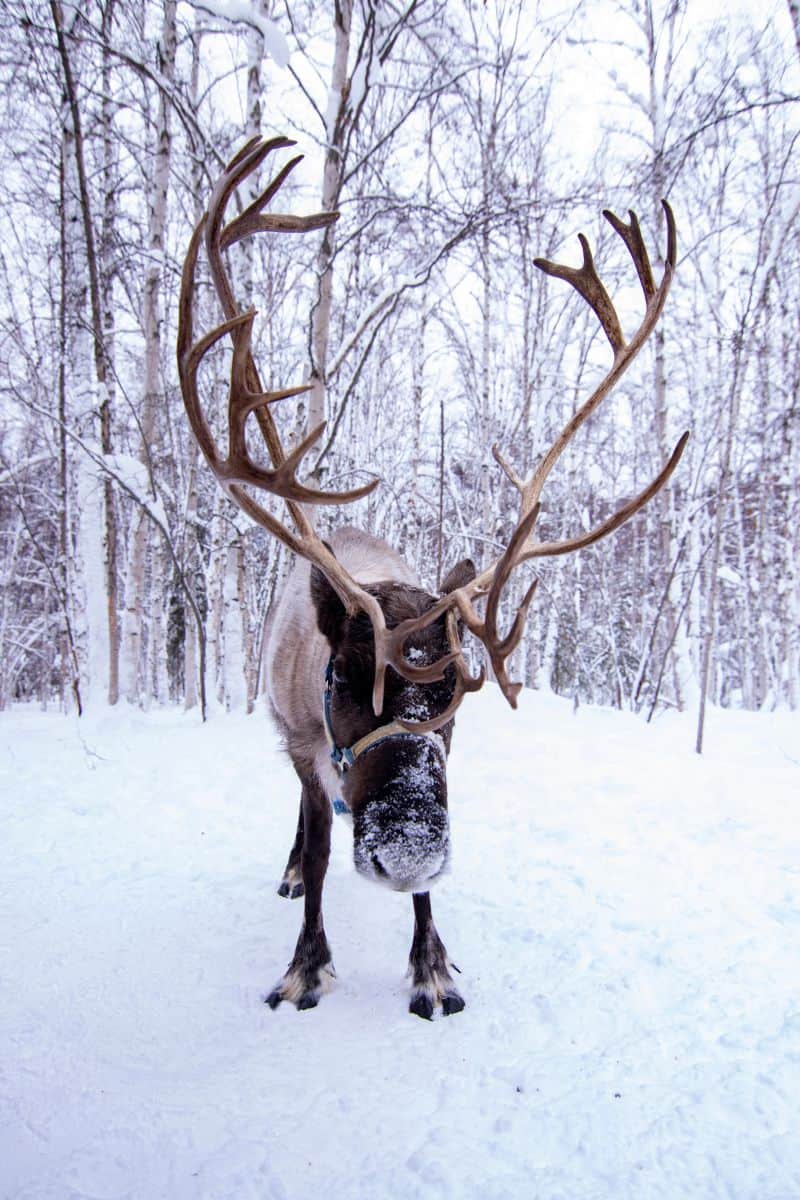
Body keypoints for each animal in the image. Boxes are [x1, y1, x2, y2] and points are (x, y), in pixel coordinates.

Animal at [177, 136, 688, 1019]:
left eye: (454, 697)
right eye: (344, 679)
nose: (409, 849)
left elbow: (428, 901)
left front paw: (431, 967)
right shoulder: (308, 744)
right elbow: (321, 854)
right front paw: (306, 966)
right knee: (306, 828)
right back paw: (292, 870)